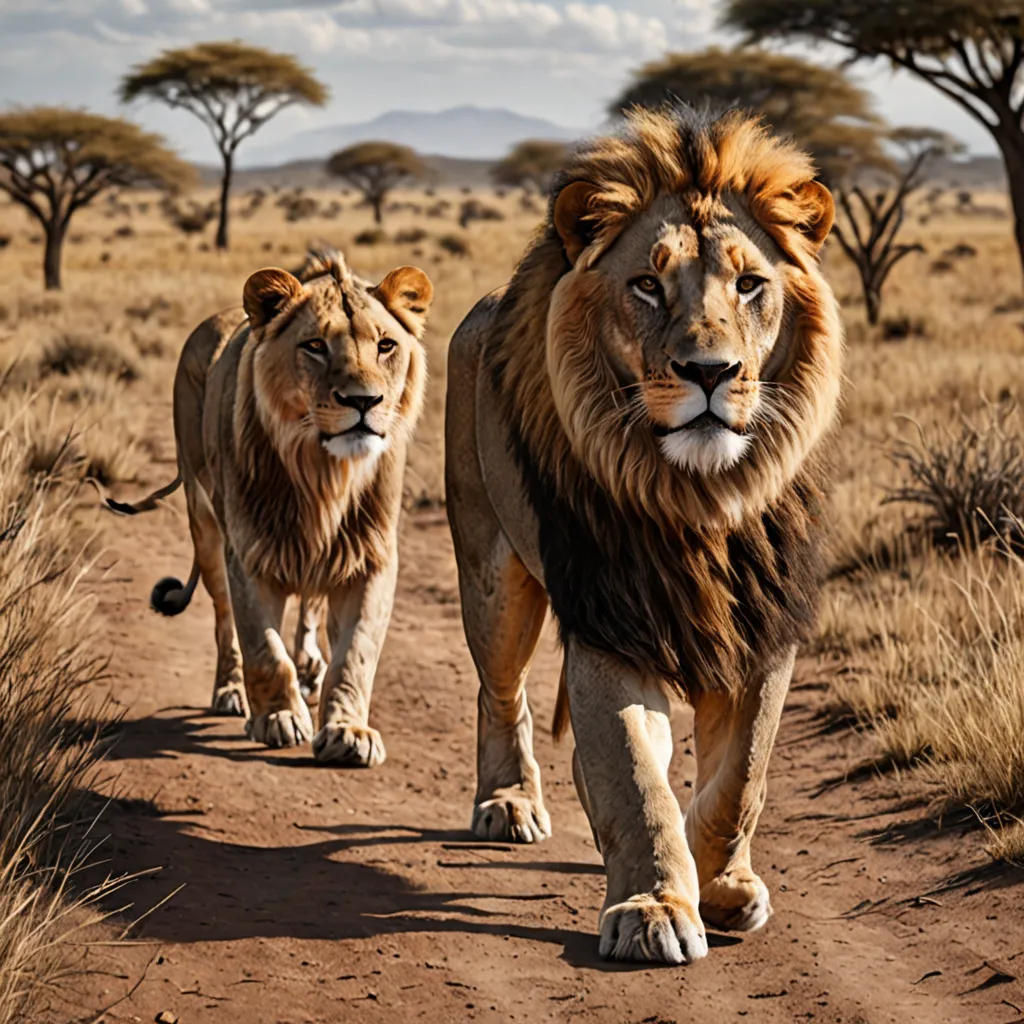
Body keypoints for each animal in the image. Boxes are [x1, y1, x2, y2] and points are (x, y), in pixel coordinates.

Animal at [108, 248, 431, 762]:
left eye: (385, 346)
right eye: (315, 345)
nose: (364, 401)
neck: (324, 475)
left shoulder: (370, 555)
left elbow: (356, 652)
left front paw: (347, 730)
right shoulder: (251, 550)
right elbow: (263, 645)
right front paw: (279, 717)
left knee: (311, 605)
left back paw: (311, 669)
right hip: (205, 525)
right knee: (225, 621)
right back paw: (231, 691)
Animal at [445, 106, 841, 965]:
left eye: (751, 285)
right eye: (648, 285)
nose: (710, 372)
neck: (701, 499)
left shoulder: (763, 632)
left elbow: (740, 779)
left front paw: (720, 884)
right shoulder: (613, 626)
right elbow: (634, 777)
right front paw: (655, 905)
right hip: (493, 574)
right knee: (501, 691)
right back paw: (508, 801)